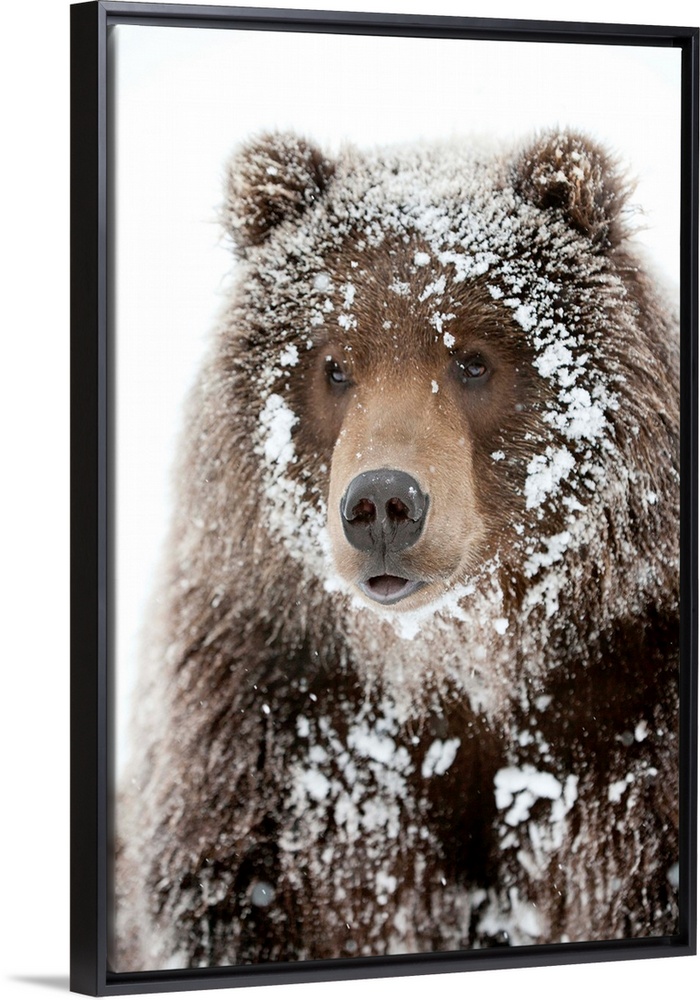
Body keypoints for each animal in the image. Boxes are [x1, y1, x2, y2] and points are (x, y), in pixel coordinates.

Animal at [113, 129, 680, 972]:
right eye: (335, 364)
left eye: (473, 358)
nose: (383, 505)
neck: (454, 657)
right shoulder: (275, 724)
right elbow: (250, 886)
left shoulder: (627, 703)